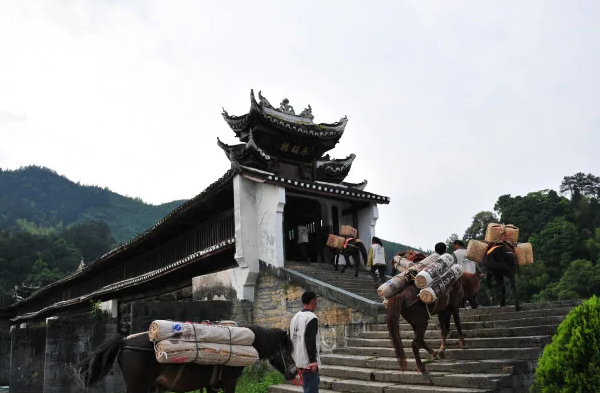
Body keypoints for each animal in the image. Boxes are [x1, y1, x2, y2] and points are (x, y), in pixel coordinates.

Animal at [74, 324, 298, 392]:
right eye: (287, 350)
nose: (294, 372)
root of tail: (124, 341)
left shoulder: (212, 385)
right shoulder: (229, 382)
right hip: (137, 386)